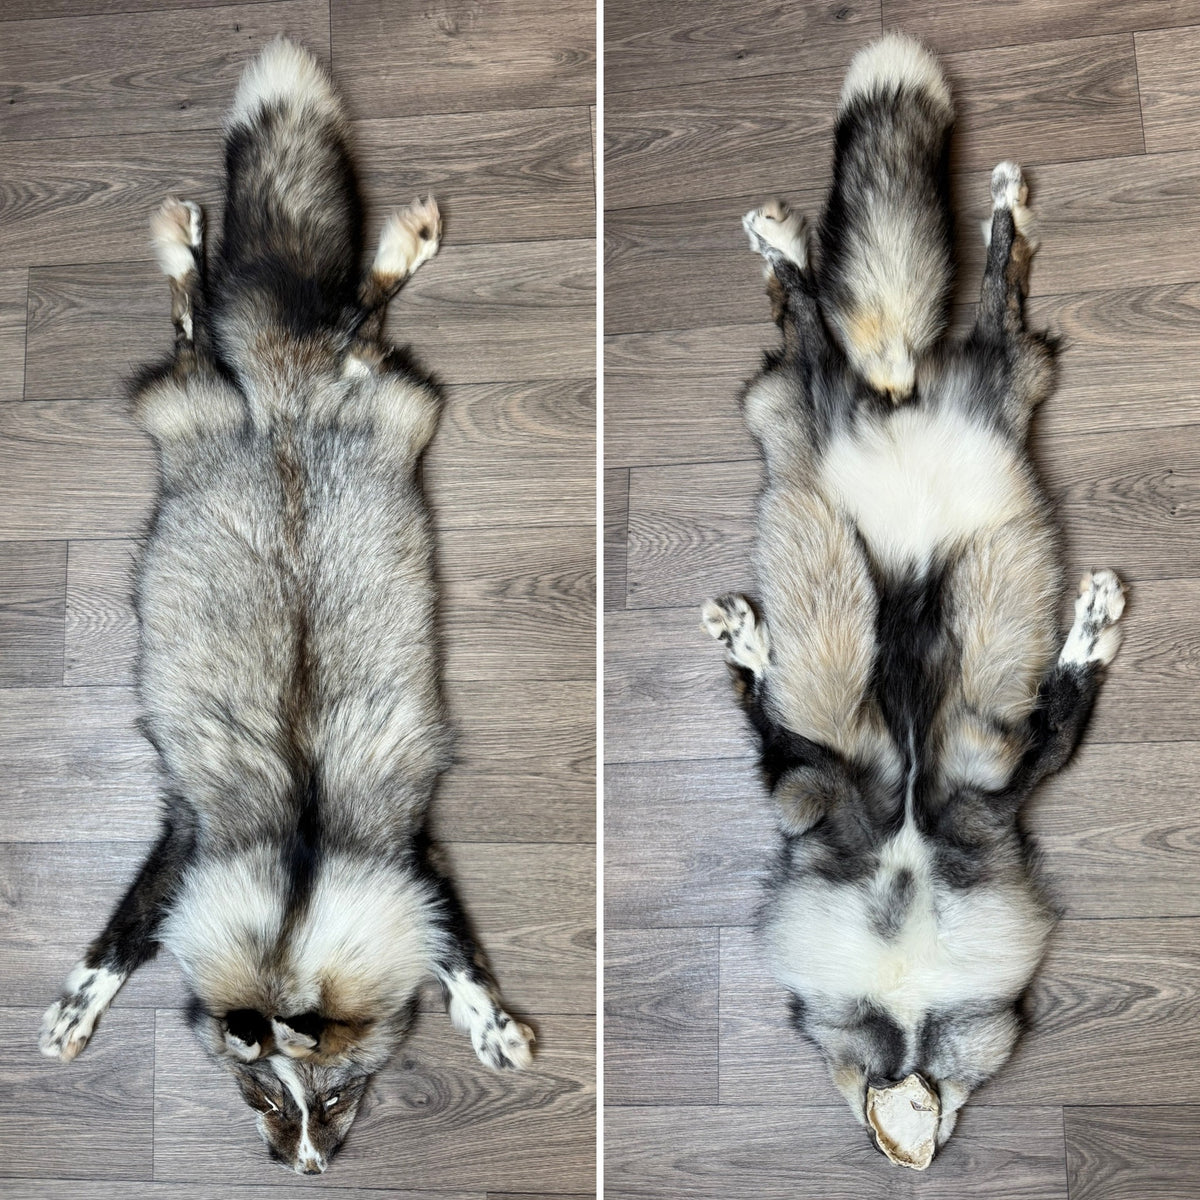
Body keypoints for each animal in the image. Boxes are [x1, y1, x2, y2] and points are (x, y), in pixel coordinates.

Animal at [38, 37, 534, 1175]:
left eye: (342, 1094)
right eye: (261, 1098)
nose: (306, 1167)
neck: (298, 873)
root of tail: (281, 394)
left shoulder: (406, 850)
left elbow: (458, 945)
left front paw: (491, 1022)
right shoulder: (188, 839)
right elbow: (122, 934)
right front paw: (76, 1007)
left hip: (379, 403)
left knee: (345, 322)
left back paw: (397, 243)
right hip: (211, 406)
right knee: (218, 325)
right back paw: (191, 240)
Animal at [702, 32, 1125, 1169]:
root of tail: (897, 396)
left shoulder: (979, 784)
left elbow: (1064, 708)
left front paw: (1095, 623)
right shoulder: (848, 787)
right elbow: (775, 725)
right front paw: (746, 642)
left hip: (983, 386)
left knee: (937, 307)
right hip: (831, 403)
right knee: (839, 323)